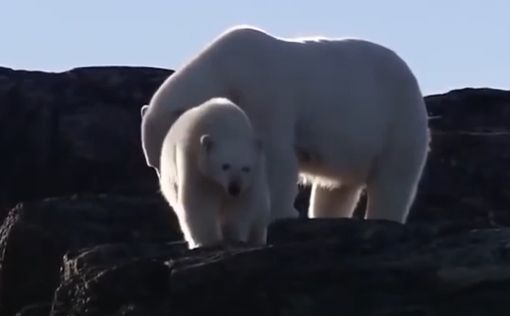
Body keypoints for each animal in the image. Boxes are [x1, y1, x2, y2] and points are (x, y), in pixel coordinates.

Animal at [141, 24, 432, 225]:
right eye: (153, 164)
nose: (171, 190)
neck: (227, 69)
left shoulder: (265, 94)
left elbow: (276, 156)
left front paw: (281, 212)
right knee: (335, 188)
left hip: (397, 117)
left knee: (393, 180)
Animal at [153, 96, 268, 249]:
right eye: (225, 166)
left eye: (246, 168)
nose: (234, 188)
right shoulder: (197, 166)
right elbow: (200, 202)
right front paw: (207, 242)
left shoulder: (253, 178)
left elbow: (239, 207)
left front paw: (232, 236)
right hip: (170, 179)